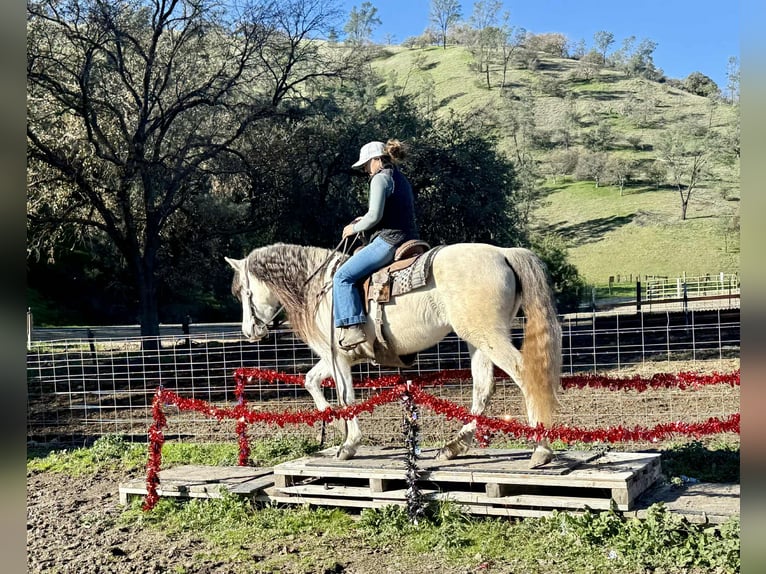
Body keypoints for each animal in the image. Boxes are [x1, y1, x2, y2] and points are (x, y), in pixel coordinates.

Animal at [225, 242, 562, 468]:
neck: (320, 288)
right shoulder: (337, 358)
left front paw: (348, 444)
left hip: (488, 335)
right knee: (483, 388)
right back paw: (454, 446)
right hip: (477, 340)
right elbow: (310, 381)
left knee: (524, 375)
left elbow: (346, 398)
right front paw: (334, 424)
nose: (248, 331)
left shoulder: (337, 357)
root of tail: (503, 252)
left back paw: (541, 449)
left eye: (242, 292)